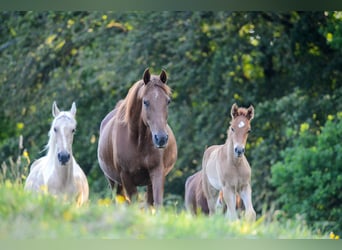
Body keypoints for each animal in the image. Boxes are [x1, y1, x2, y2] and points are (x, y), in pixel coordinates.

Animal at [96, 68, 176, 207]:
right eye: (145, 102)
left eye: (168, 101)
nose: (161, 138)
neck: (138, 142)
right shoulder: (126, 178)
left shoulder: (157, 173)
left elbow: (157, 204)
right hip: (114, 183)